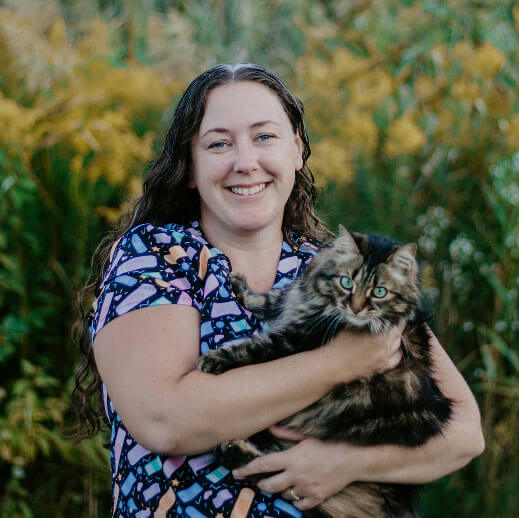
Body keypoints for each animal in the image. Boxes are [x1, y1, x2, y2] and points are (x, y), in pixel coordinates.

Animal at [197, 228, 452, 518]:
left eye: (379, 292)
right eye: (346, 283)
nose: (356, 308)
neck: (320, 303)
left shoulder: (294, 340)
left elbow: (252, 348)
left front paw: (215, 358)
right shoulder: (293, 298)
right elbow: (270, 297)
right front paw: (242, 288)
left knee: (272, 473)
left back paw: (231, 449)